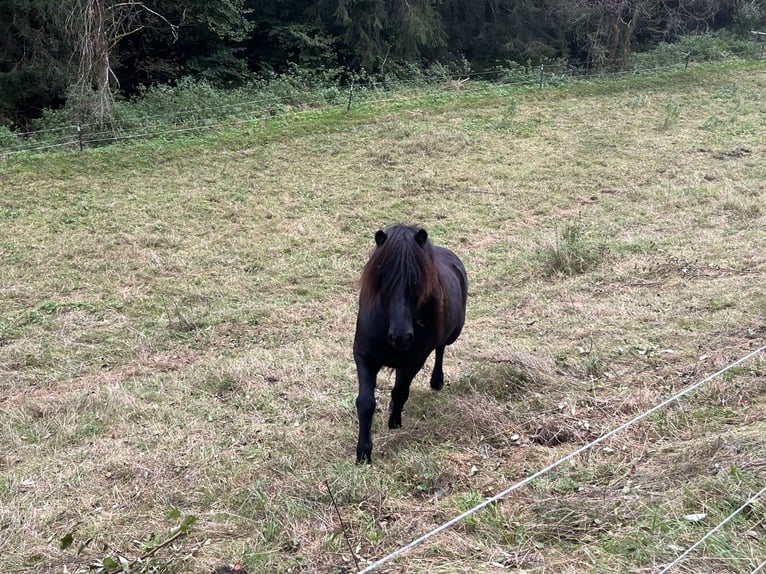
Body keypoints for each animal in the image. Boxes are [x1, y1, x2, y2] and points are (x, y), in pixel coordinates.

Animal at [354, 227, 468, 466]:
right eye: (382, 280)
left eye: (417, 283)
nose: (401, 337)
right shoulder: (364, 357)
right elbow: (366, 403)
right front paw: (363, 453)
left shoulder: (414, 361)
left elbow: (400, 392)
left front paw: (394, 422)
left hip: (451, 334)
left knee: (441, 348)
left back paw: (436, 380)